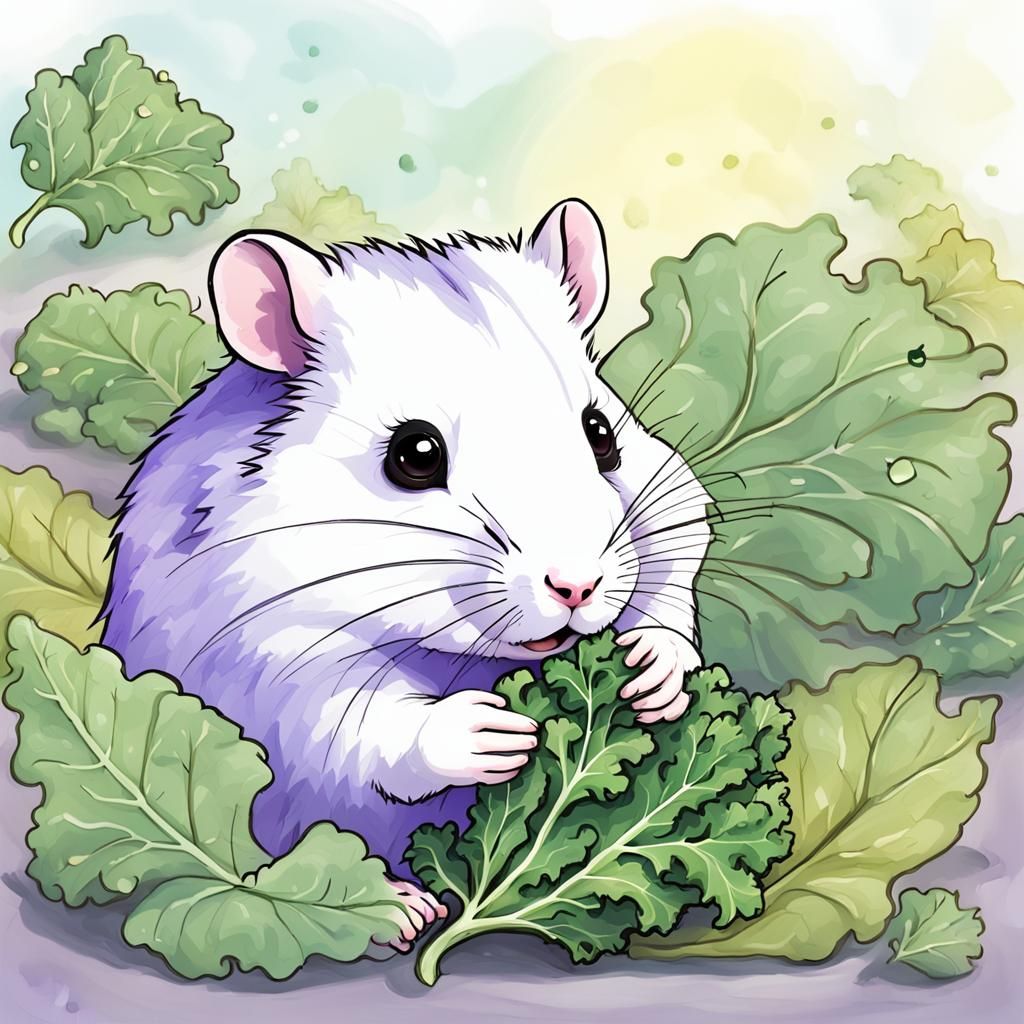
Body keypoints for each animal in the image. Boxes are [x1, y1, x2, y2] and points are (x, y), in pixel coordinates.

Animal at [101, 199, 711, 946]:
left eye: (602, 435)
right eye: (414, 453)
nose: (577, 587)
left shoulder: (671, 493)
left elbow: (680, 546)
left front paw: (658, 665)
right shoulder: (263, 650)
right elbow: (343, 724)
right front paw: (478, 731)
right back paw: (393, 905)